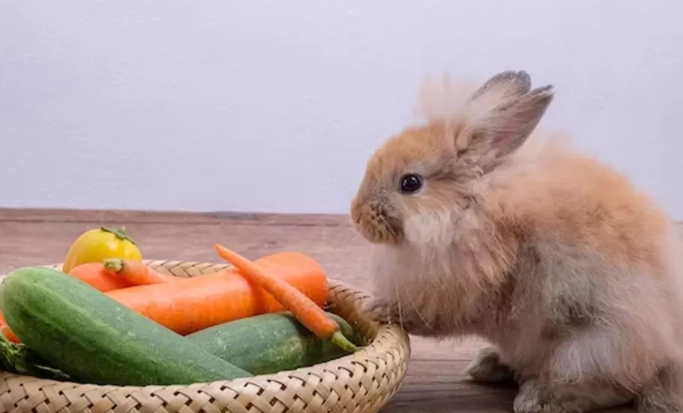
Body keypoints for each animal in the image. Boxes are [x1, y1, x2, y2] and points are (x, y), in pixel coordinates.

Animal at [350, 70, 683, 413]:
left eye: (410, 183)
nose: (356, 216)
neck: (468, 208)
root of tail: (666, 356)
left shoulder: (456, 294)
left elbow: (423, 316)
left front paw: (376, 307)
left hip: (589, 349)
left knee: (610, 388)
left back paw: (534, 399)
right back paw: (486, 365)